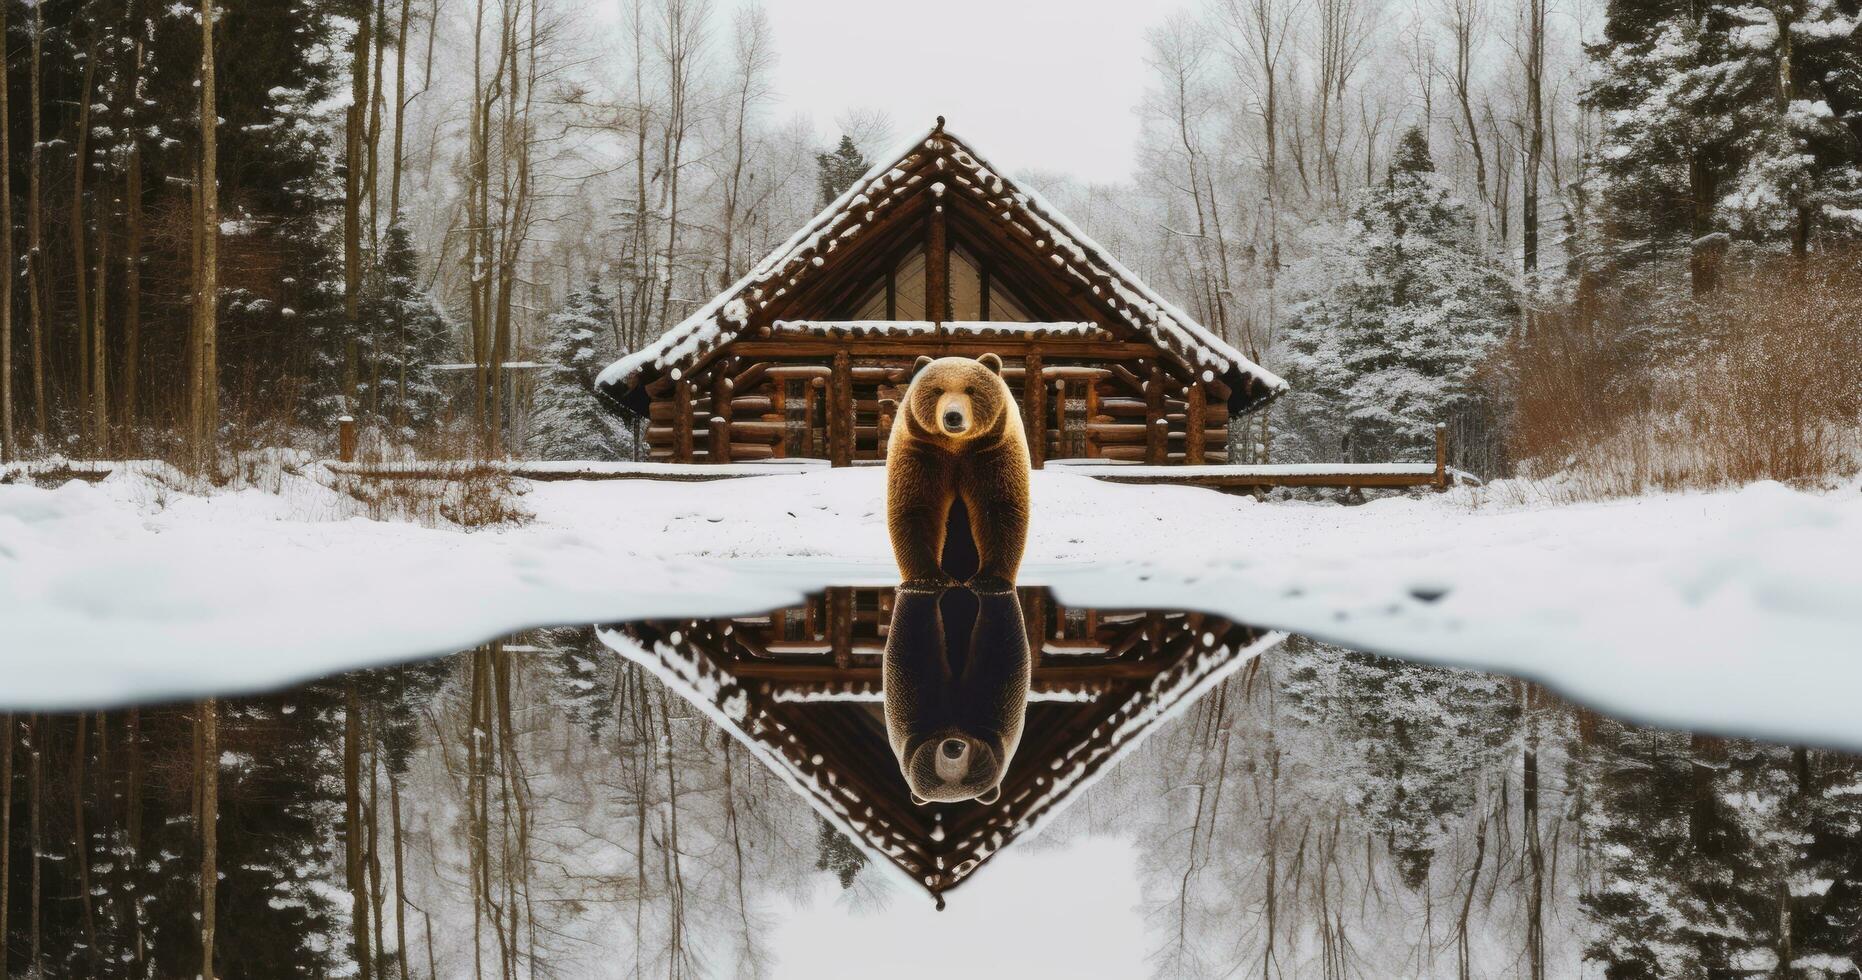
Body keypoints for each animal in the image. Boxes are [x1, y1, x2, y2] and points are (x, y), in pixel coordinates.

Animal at [886, 355, 1035, 596]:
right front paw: (927, 580)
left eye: (971, 389)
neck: (956, 446)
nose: (953, 416)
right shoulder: (922, 451)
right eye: (937, 390)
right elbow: (917, 505)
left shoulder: (991, 451)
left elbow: (998, 506)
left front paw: (991, 580)